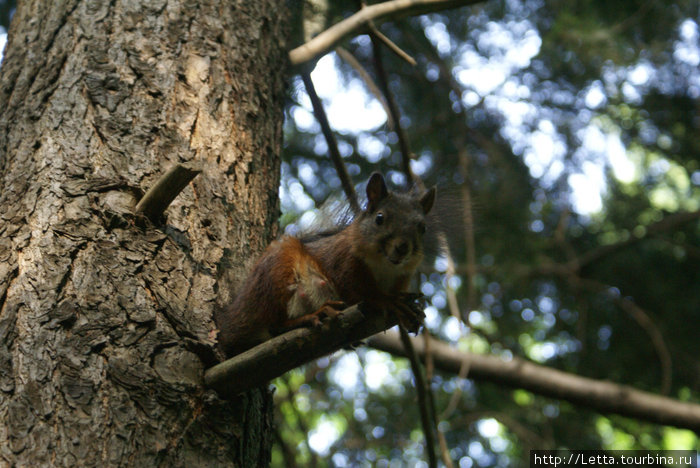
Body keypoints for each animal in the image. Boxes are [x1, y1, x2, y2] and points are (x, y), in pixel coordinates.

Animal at [216, 174, 434, 356]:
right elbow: (361, 291)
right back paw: (315, 314)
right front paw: (388, 301)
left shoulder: (403, 277)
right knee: (276, 325)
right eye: (379, 218)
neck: (385, 266)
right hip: (276, 274)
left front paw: (411, 315)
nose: (402, 247)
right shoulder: (343, 262)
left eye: (423, 227)